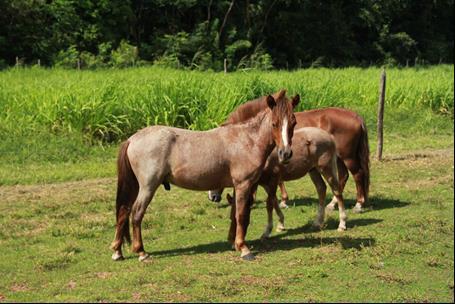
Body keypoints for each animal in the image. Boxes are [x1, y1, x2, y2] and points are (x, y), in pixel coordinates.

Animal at [112, 89, 302, 262]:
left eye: (293, 123)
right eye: (274, 123)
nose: (285, 153)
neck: (247, 139)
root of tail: (132, 139)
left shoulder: (237, 186)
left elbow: (234, 214)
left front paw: (233, 243)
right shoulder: (244, 184)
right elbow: (242, 215)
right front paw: (244, 249)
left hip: (136, 186)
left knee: (123, 211)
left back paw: (117, 252)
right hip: (148, 187)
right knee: (137, 213)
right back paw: (141, 252)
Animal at [210, 97, 370, 211]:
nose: (212, 197)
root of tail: (355, 116)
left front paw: (281, 201)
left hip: (348, 157)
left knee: (357, 174)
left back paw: (359, 204)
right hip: (338, 158)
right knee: (343, 176)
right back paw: (333, 204)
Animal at [212, 125, 348, 238]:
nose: (213, 197)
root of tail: (329, 136)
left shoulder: (272, 180)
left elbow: (269, 204)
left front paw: (267, 231)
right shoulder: (265, 184)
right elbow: (274, 202)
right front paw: (280, 225)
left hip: (327, 168)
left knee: (336, 191)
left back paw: (342, 224)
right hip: (313, 170)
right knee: (321, 188)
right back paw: (318, 222)